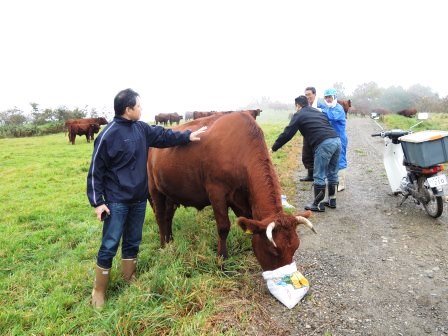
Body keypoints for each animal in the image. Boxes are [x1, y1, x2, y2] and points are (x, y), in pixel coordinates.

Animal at [148, 111, 316, 272]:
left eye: (295, 247)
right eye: (273, 250)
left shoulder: (240, 199)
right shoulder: (216, 192)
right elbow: (223, 227)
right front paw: (222, 260)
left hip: (170, 192)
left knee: (168, 216)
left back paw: (170, 241)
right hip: (154, 189)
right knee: (160, 217)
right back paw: (163, 245)